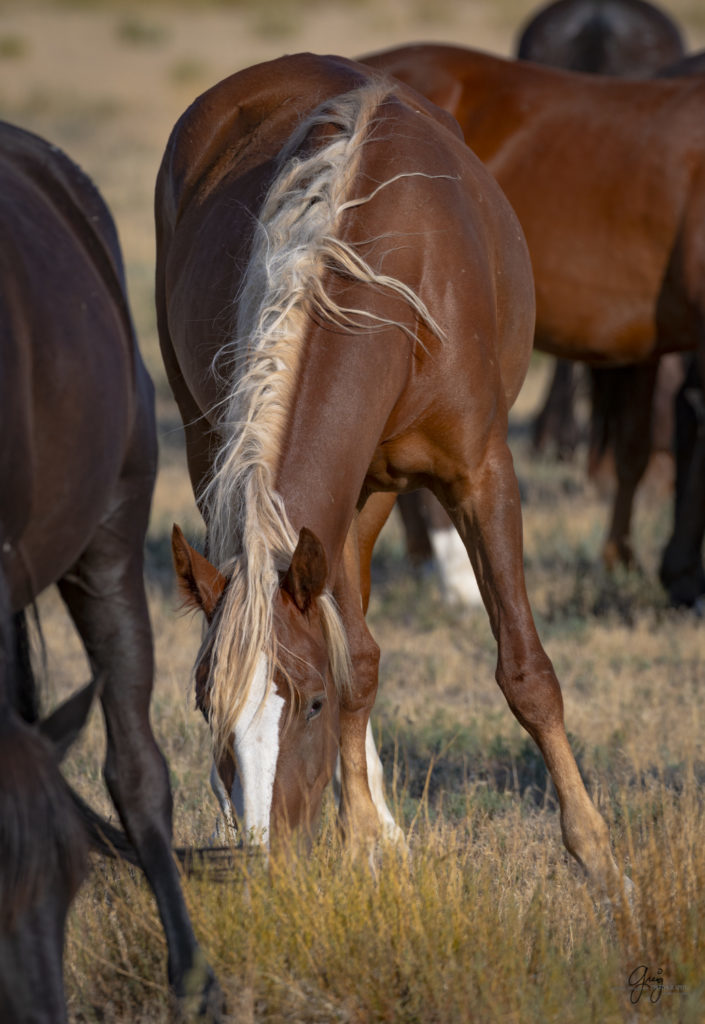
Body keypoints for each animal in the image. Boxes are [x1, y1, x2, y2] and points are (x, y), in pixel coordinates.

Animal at [155, 51, 623, 892]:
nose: (264, 862)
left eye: (306, 704)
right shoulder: (325, 508)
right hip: (221, 447)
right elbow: (358, 661)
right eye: (206, 708)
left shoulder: (481, 475)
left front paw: (599, 859)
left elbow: (525, 672)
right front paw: (363, 835)